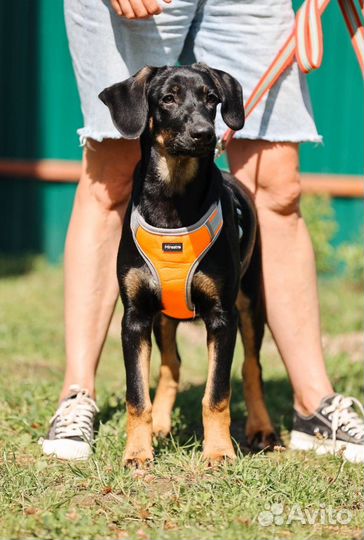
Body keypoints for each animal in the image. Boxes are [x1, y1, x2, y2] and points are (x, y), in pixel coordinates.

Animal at [98, 63, 278, 466]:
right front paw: (137, 453)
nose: (205, 134)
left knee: (252, 367)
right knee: (171, 366)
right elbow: (137, 396)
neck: (173, 201)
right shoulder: (134, 316)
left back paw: (261, 428)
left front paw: (219, 452)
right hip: (163, 316)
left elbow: (217, 394)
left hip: (250, 299)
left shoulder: (222, 316)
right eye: (168, 98)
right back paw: (162, 425)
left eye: (212, 99)